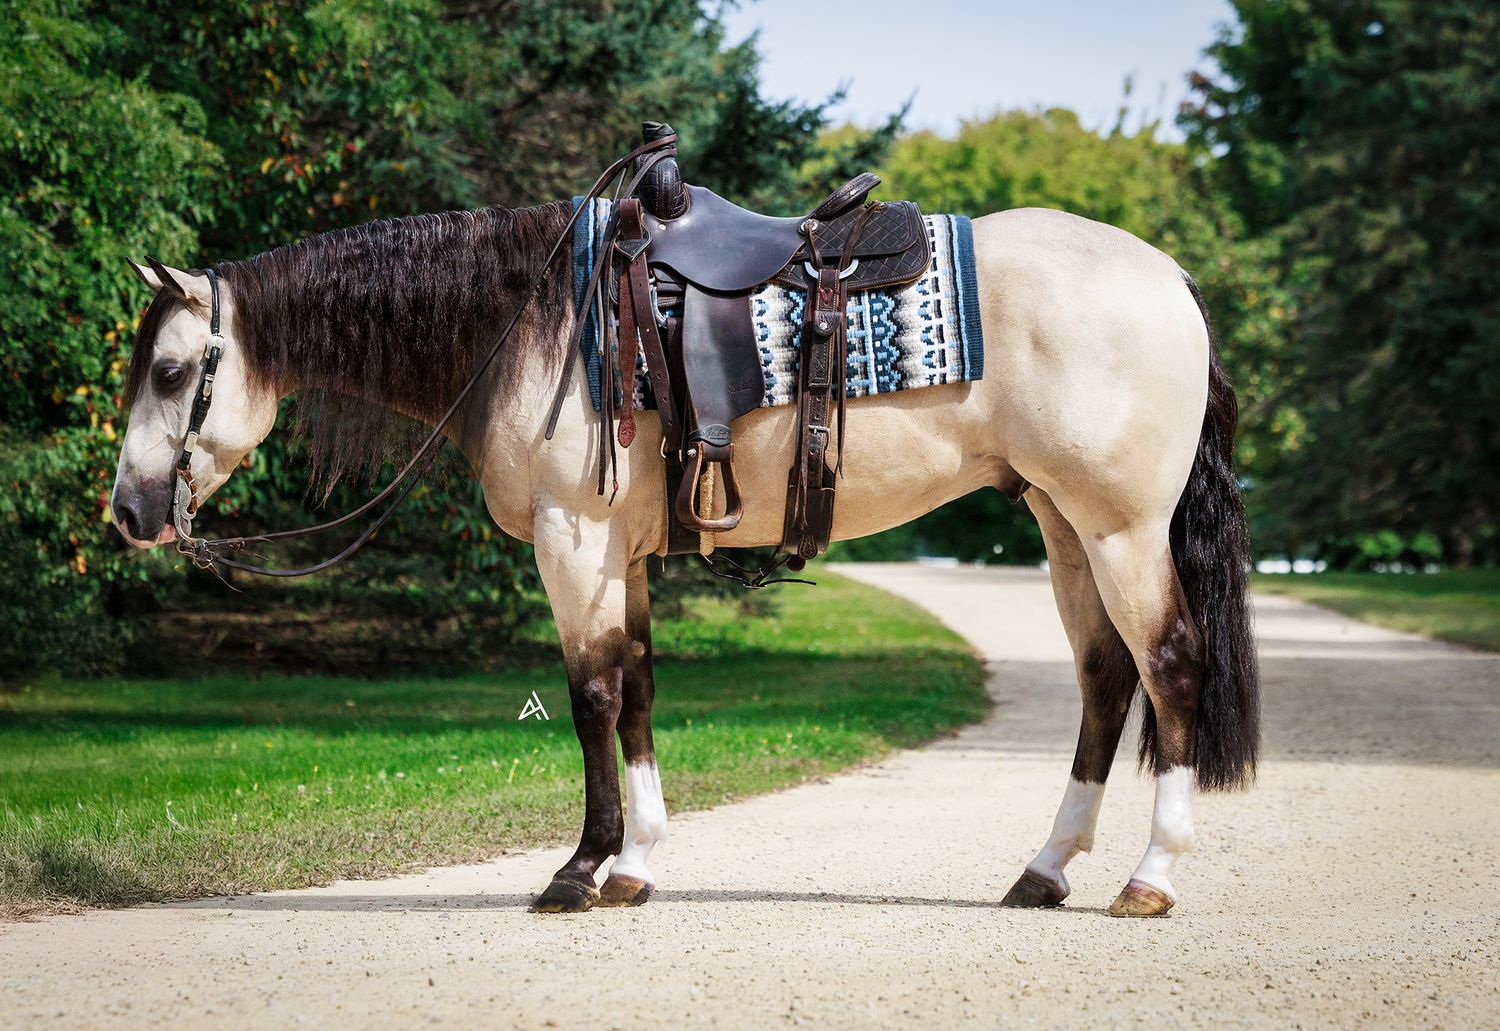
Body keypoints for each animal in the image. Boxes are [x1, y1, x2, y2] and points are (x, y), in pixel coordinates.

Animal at [109, 197, 1259, 917]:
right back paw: (1046, 868)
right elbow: (641, 688)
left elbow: (590, 695)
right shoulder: (622, 553)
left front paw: (579, 869)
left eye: (169, 370)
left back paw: (1151, 874)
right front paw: (635, 863)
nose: (127, 510)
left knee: (1170, 665)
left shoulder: (574, 542)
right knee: (1106, 678)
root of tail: (1171, 276)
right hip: (1064, 526)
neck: (529, 323)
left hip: (1120, 530)